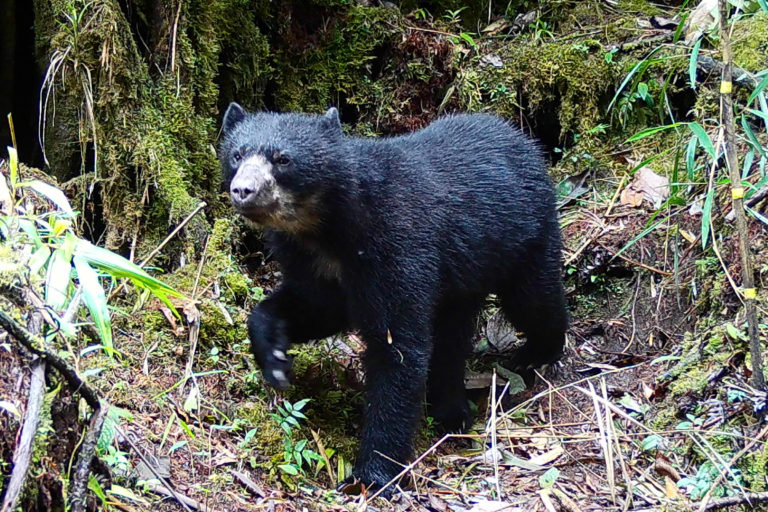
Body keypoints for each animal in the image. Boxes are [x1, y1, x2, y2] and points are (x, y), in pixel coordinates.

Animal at [219, 103, 568, 492]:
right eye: (237, 155)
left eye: (283, 159)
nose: (243, 190)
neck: (324, 231)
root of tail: (525, 141)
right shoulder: (312, 264)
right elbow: (315, 307)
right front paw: (276, 361)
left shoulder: (397, 245)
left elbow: (397, 347)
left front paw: (372, 474)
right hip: (464, 274)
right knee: (452, 337)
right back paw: (451, 411)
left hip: (525, 237)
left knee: (534, 302)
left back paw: (535, 355)